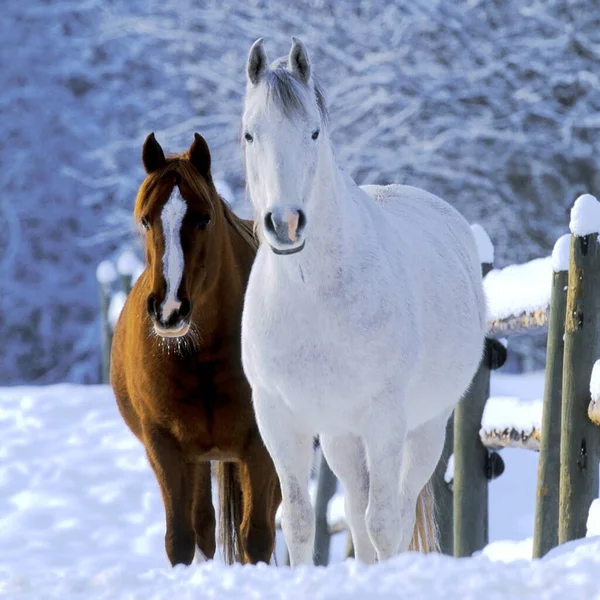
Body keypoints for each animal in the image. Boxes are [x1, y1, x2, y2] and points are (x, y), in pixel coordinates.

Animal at [110, 132, 282, 568]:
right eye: (146, 219)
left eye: (204, 218)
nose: (170, 309)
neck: (200, 354)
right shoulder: (165, 447)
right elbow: (181, 539)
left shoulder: (261, 446)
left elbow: (256, 537)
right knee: (204, 525)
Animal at [239, 38, 488, 568]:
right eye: (251, 134)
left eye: (314, 131)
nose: (285, 223)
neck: (313, 297)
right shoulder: (279, 419)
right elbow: (298, 521)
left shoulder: (385, 420)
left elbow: (384, 522)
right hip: (341, 438)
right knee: (354, 509)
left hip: (424, 430)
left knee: (394, 511)